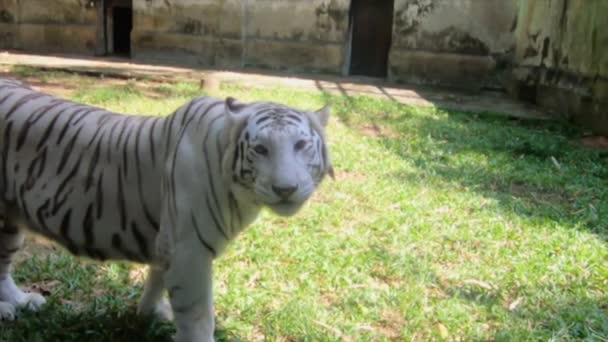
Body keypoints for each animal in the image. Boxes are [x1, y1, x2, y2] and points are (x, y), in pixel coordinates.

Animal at [0, 78, 332, 342]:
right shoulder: (189, 250)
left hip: (9, 221)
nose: (285, 189)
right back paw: (7, 310)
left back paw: (21, 302)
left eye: (301, 145)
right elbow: (198, 316)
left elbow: (156, 277)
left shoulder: (168, 240)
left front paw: (148, 312)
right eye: (261, 149)